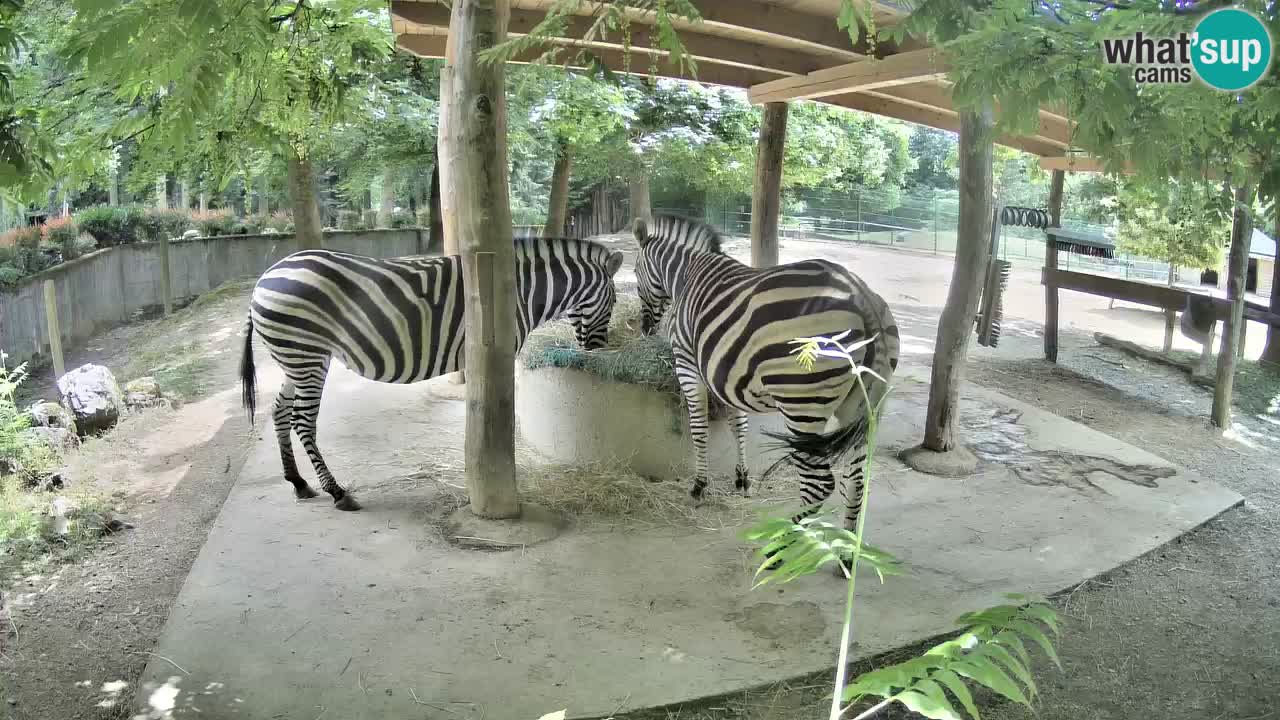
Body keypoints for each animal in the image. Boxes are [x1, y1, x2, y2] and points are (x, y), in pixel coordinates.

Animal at [239, 237, 624, 511]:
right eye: (616, 302)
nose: (598, 349)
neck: (520, 292)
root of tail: (265, 276)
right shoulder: (497, 351)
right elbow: (498, 407)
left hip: (294, 357)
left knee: (280, 411)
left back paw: (298, 482)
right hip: (307, 354)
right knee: (302, 420)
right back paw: (337, 492)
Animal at [632, 214, 899, 536]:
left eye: (633, 273)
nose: (645, 330)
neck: (686, 274)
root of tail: (860, 296)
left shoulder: (687, 362)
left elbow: (699, 428)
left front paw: (699, 487)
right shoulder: (728, 374)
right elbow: (739, 426)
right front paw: (742, 479)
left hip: (802, 403)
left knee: (819, 484)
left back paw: (786, 542)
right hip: (862, 405)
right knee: (856, 480)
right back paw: (846, 546)